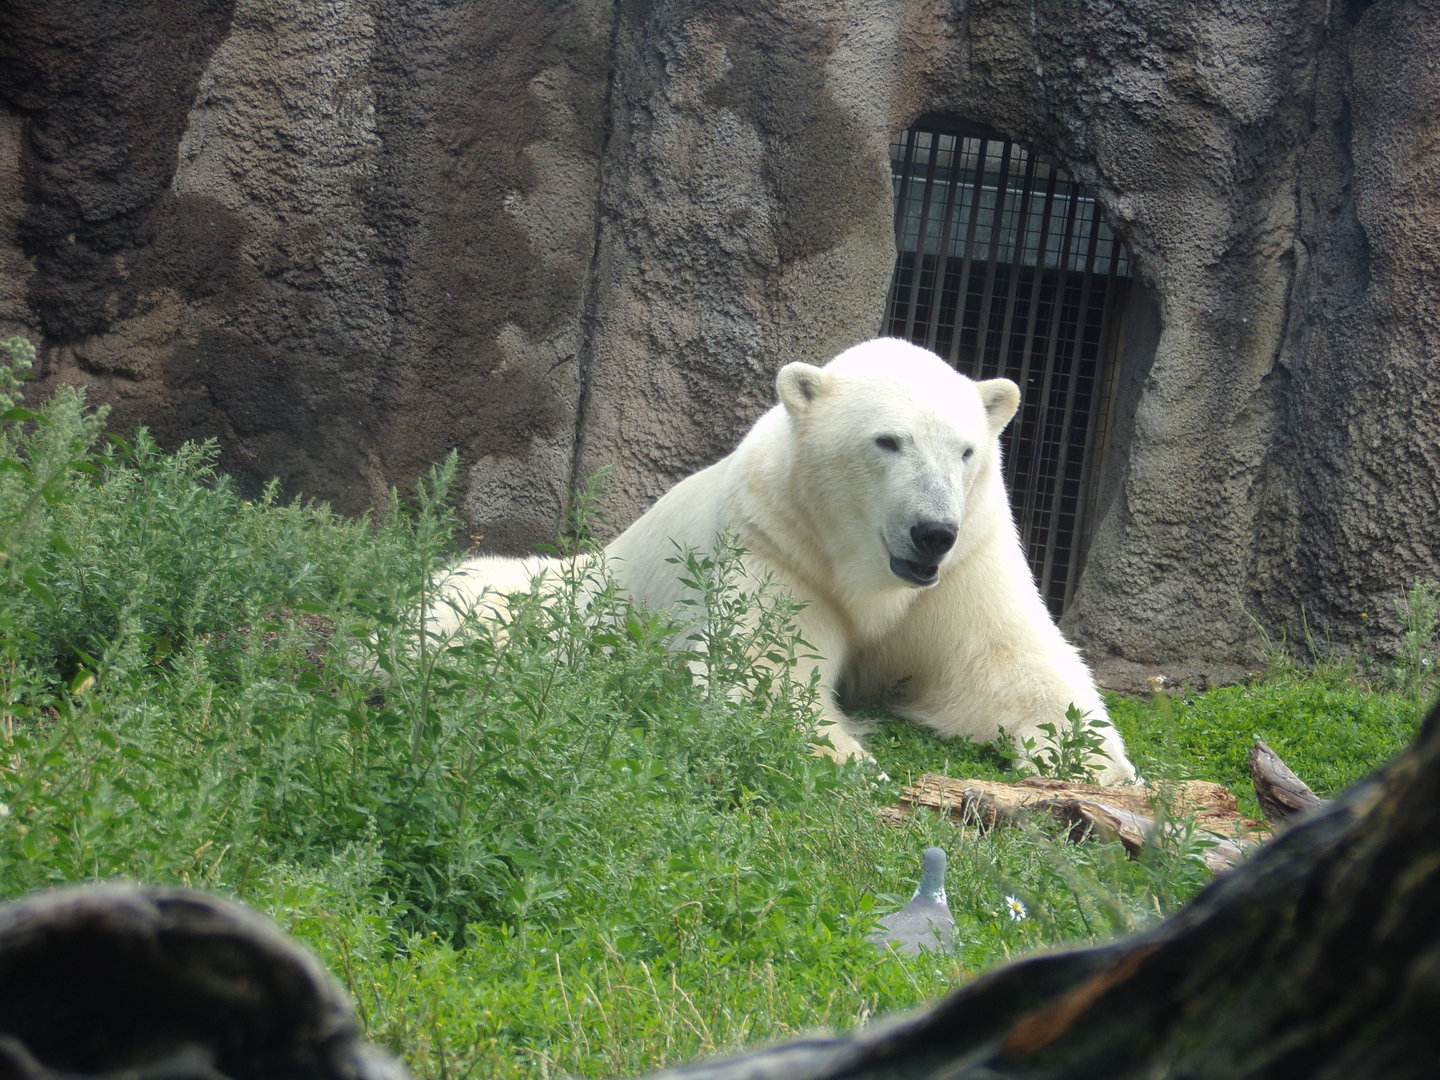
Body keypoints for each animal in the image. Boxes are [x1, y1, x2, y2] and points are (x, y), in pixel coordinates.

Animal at [437, 337, 1136, 783]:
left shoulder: (967, 561)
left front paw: (1103, 764)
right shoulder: (777, 547)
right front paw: (849, 760)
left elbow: (1006, 663)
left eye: (966, 450)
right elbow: (768, 670)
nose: (933, 531)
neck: (866, 572)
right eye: (888, 441)